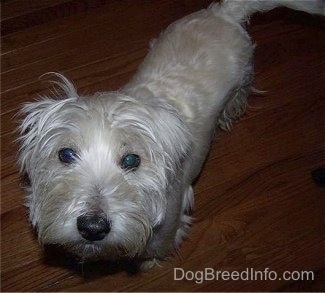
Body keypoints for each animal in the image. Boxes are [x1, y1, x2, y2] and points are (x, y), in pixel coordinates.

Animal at [18, 0, 322, 270]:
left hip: (242, 76)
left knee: (240, 95)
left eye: (132, 160)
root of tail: (224, 12)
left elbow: (159, 247)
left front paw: (149, 263)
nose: (93, 228)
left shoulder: (169, 226)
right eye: (66, 154)